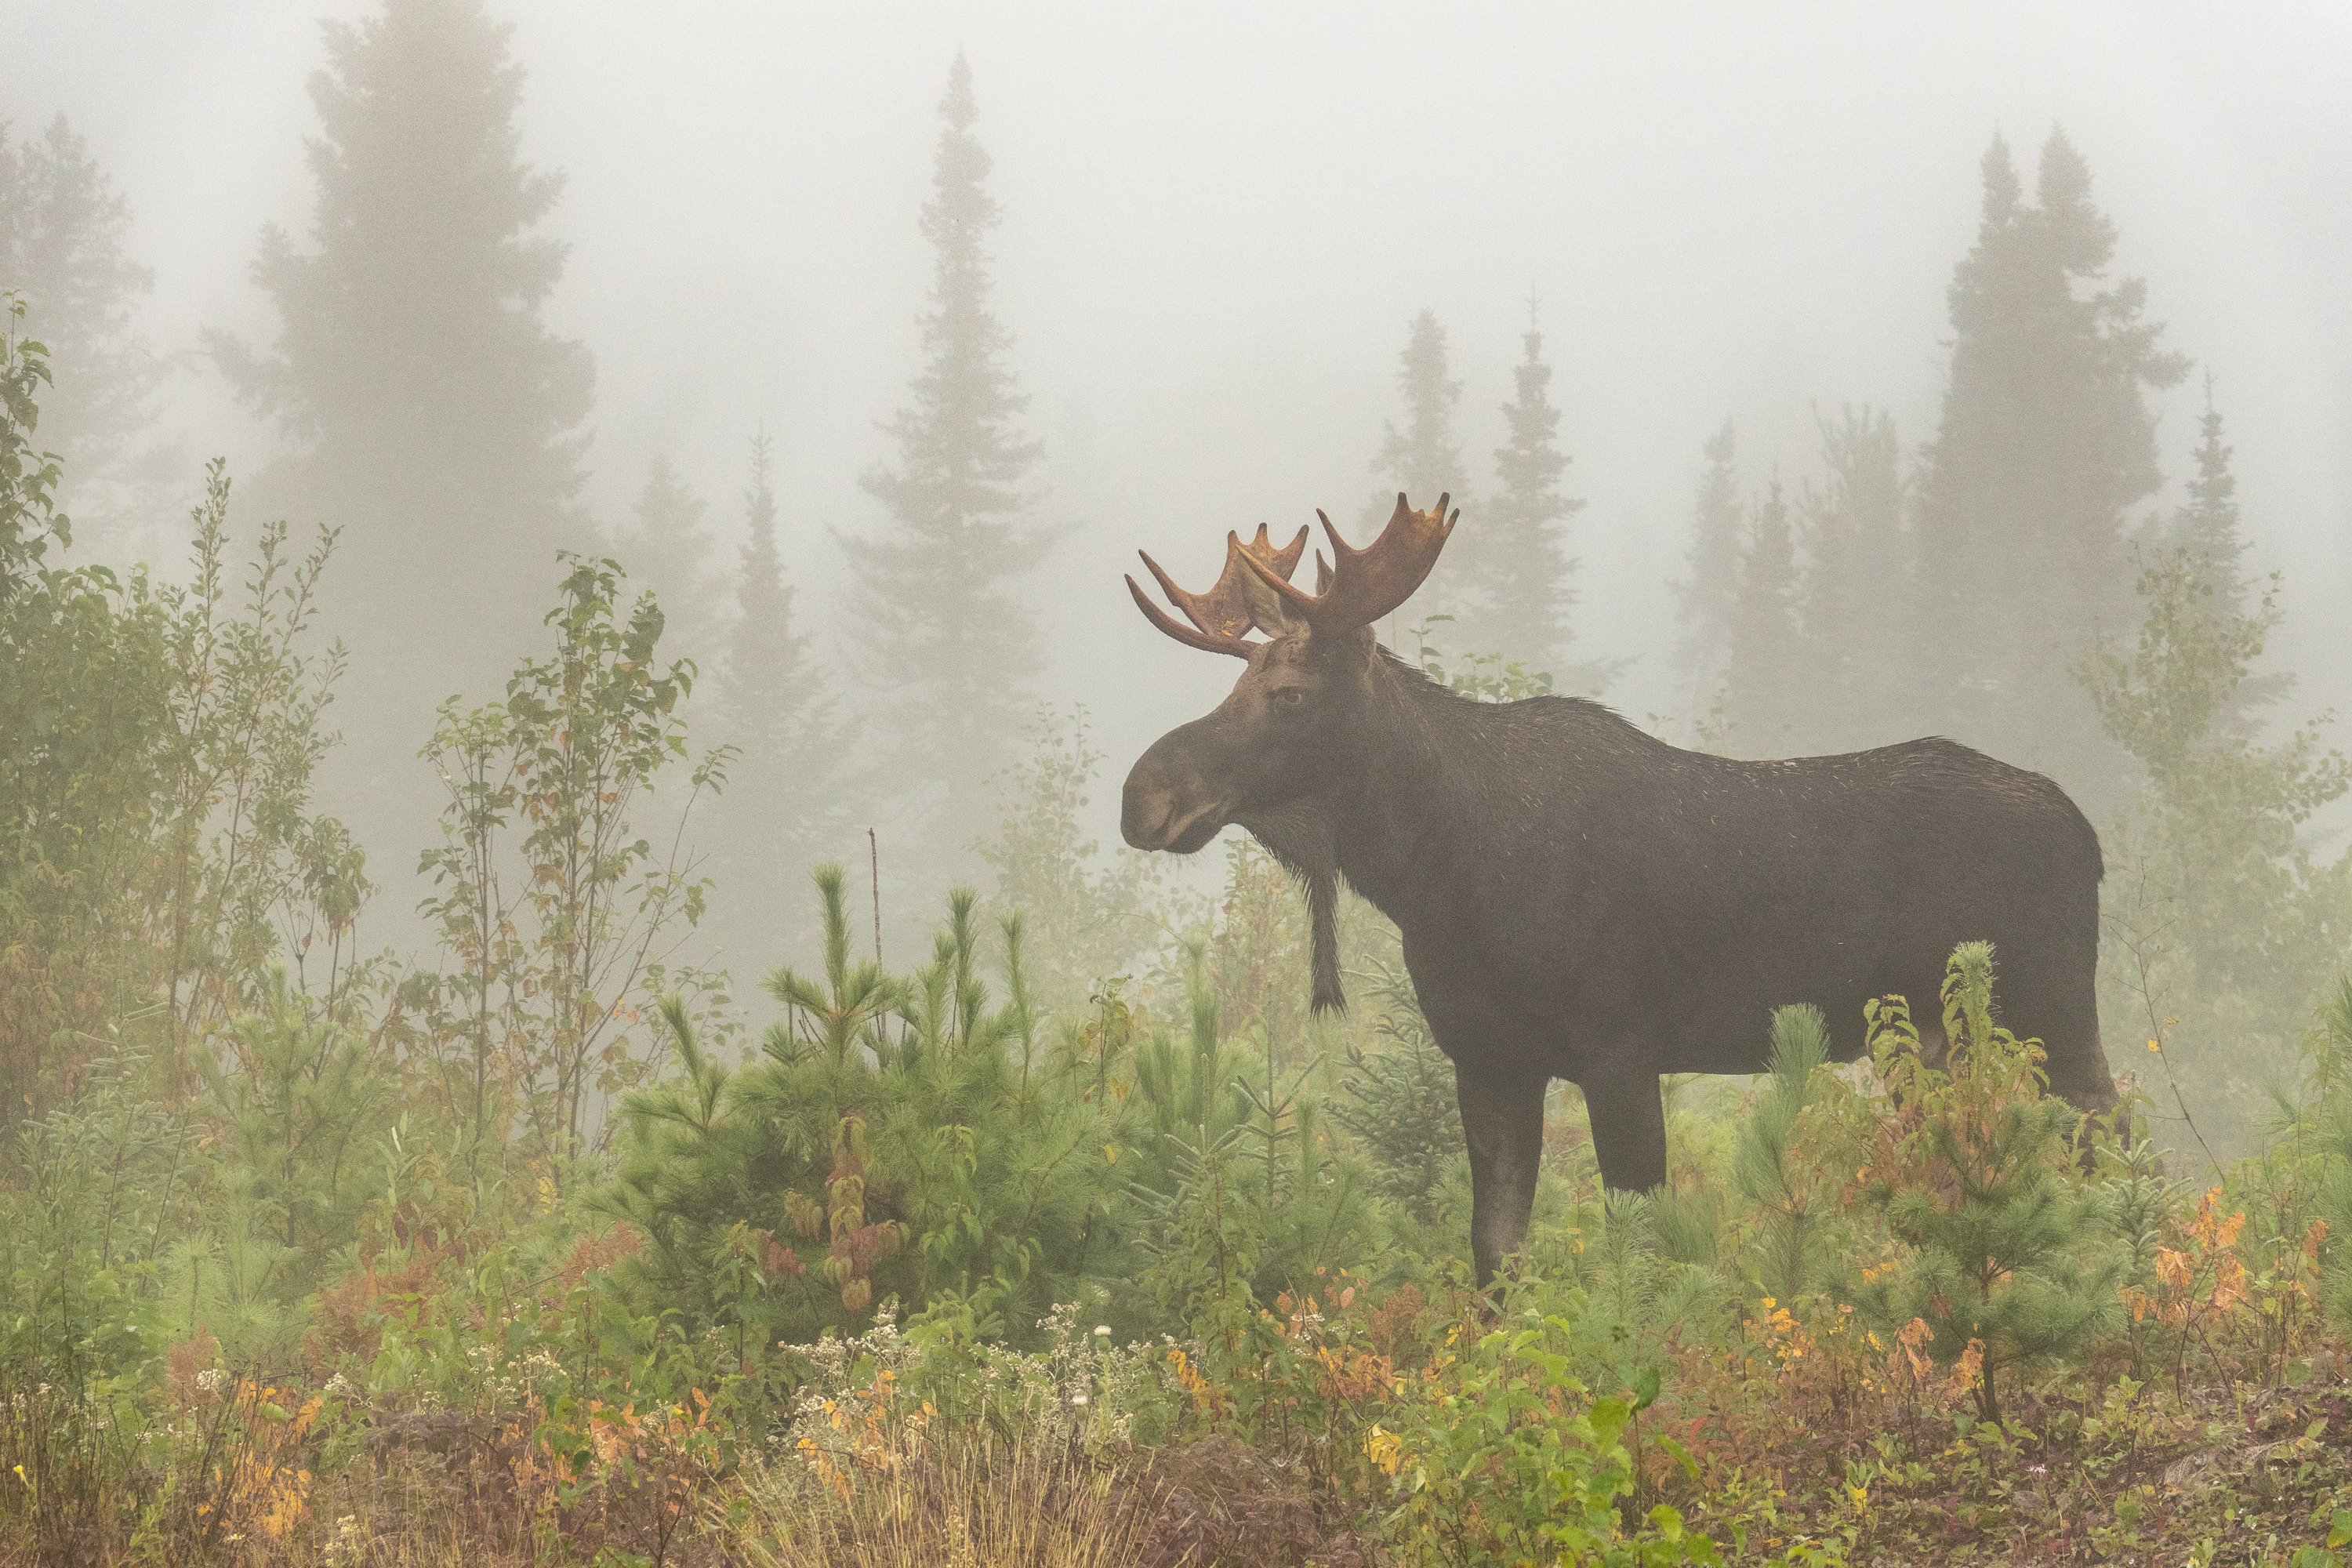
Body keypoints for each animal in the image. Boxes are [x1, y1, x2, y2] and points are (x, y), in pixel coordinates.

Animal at [1121, 493, 2119, 1285]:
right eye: (1239, 681)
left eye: (1289, 692)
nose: (1142, 794)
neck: (1438, 873)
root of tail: (2092, 836)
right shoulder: (1488, 1058)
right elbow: (1495, 1251)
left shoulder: (1621, 1047)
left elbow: (1639, 1242)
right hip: (1933, 1045)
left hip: (2053, 1010)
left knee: (2112, 1139)